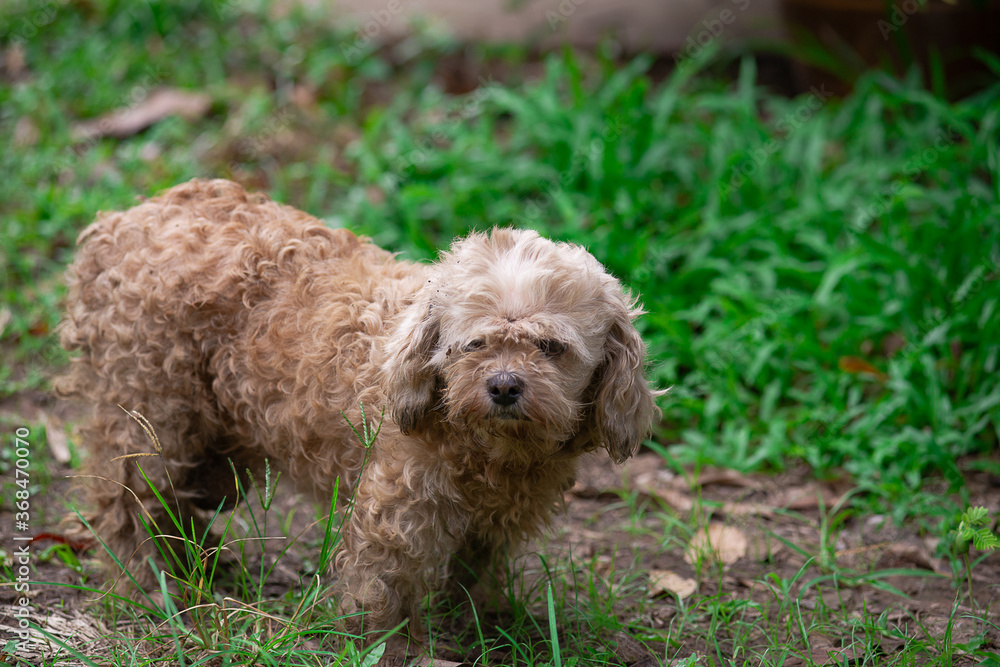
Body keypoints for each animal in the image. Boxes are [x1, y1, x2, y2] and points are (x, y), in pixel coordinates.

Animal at [58, 177, 660, 640]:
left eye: (551, 348)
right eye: (474, 344)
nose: (505, 386)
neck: (487, 453)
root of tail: (119, 225)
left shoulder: (492, 524)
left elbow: (475, 573)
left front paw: (479, 625)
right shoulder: (395, 514)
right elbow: (380, 593)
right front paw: (389, 648)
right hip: (149, 411)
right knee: (127, 504)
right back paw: (146, 588)